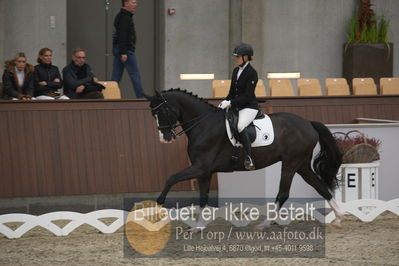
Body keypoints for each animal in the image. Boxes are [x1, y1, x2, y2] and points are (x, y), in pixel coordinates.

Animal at [145, 90, 346, 231]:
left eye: (162, 111)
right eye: (152, 114)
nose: (165, 138)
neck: (203, 125)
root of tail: (308, 123)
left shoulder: (200, 167)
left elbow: (171, 178)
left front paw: (157, 208)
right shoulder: (204, 172)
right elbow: (203, 198)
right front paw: (199, 227)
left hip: (290, 164)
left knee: (283, 194)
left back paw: (265, 224)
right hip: (301, 164)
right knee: (320, 187)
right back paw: (338, 218)